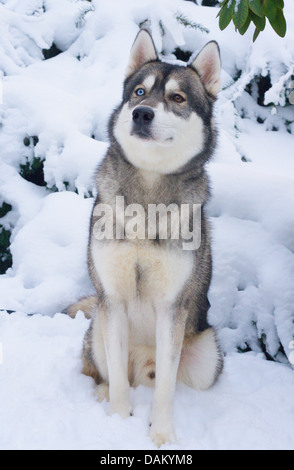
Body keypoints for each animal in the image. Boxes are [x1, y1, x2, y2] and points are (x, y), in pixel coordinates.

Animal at [67, 29, 223, 448]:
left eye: (177, 98)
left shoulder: (172, 308)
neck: (146, 199)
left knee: (166, 381)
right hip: (98, 329)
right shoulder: (113, 299)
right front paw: (118, 422)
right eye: (139, 92)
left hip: (208, 356)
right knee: (105, 373)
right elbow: (119, 381)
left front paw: (162, 435)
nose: (142, 113)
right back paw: (102, 394)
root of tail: (143, 366)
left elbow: (166, 388)